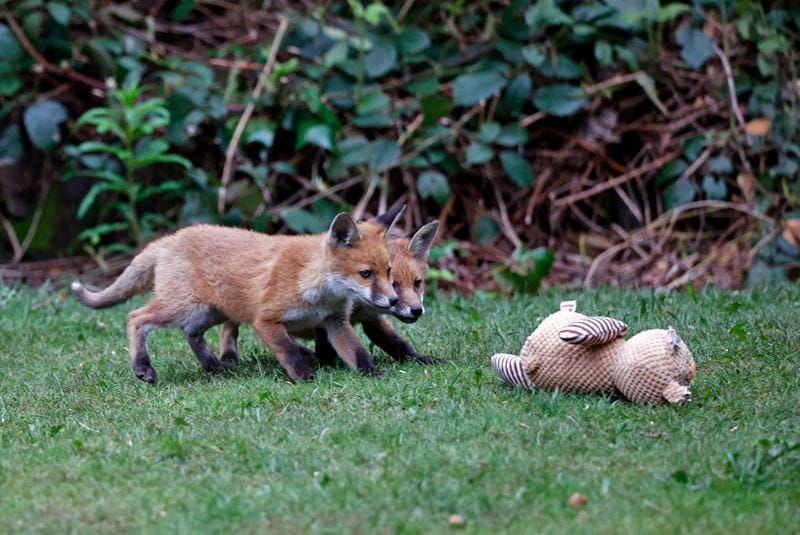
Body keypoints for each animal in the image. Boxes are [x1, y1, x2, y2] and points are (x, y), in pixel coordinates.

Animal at [70, 210, 403, 383]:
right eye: (366, 274)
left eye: (389, 271)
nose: (394, 302)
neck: (313, 282)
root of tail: (170, 239)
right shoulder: (265, 319)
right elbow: (288, 352)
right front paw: (304, 378)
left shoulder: (334, 322)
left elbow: (358, 353)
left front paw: (374, 374)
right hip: (183, 306)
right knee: (135, 317)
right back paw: (142, 366)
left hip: (212, 311)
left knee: (191, 333)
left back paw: (212, 365)